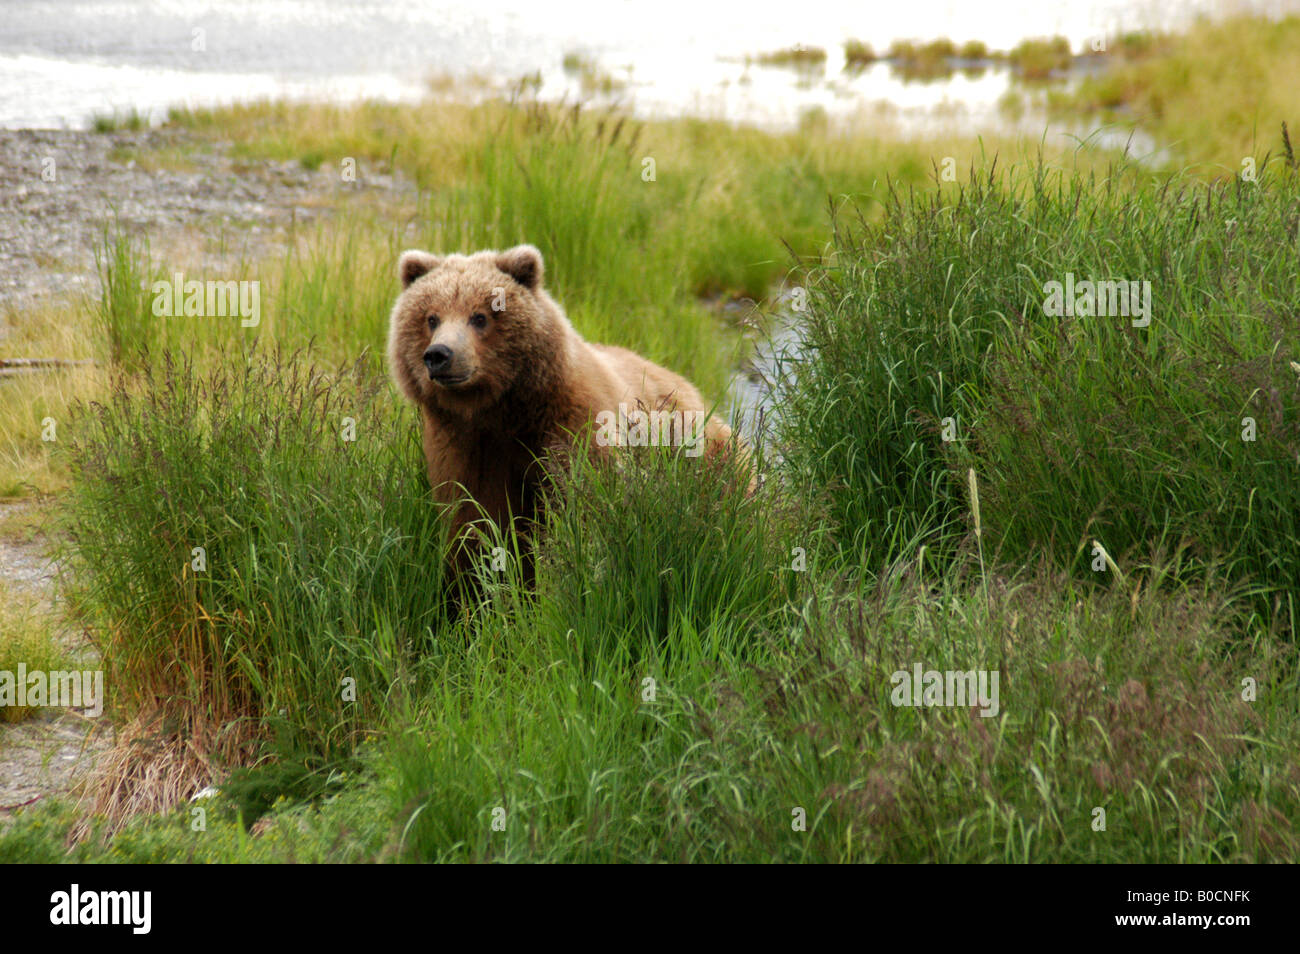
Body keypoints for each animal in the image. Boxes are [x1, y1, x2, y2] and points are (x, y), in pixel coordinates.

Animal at [387, 244, 738, 573]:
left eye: (479, 316)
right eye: (431, 318)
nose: (439, 354)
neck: (503, 411)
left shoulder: (573, 425)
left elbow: (582, 507)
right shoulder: (464, 445)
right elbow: (473, 520)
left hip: (700, 457)